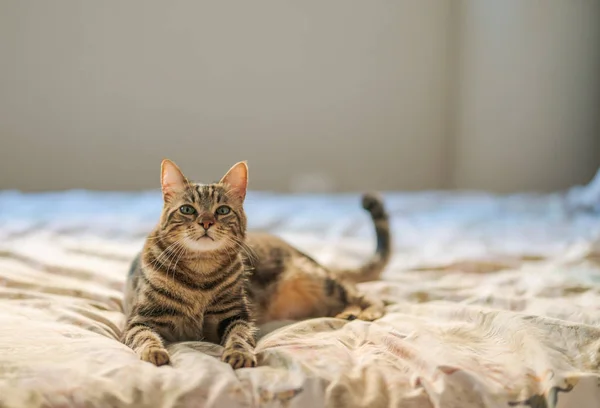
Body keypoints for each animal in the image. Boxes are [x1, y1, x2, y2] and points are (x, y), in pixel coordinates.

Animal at [123, 160, 390, 370]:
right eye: (187, 209)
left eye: (222, 210)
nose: (206, 223)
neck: (200, 269)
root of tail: (298, 250)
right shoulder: (139, 320)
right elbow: (144, 336)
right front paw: (153, 352)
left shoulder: (234, 316)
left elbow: (239, 336)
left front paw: (239, 354)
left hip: (318, 280)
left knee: (363, 294)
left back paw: (363, 311)